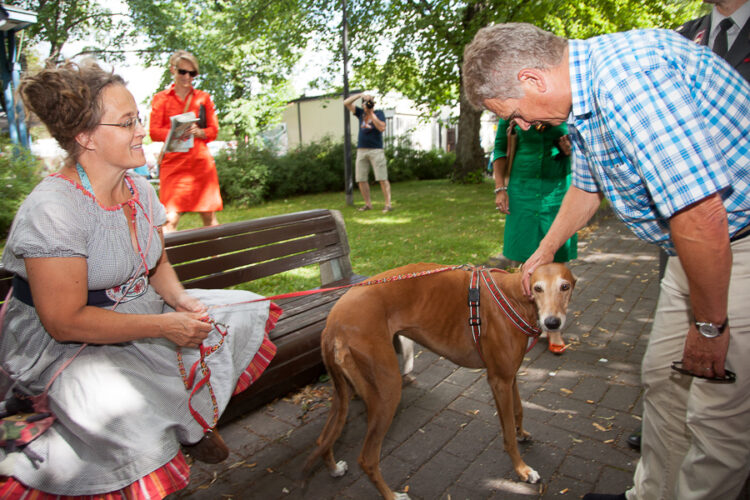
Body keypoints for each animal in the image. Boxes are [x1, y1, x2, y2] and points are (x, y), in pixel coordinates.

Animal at [304, 264, 576, 498]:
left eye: (565, 286)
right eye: (538, 287)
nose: (552, 323)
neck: (515, 296)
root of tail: (332, 324)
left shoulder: (510, 376)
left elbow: (519, 410)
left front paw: (522, 434)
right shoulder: (498, 380)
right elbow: (507, 433)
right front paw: (522, 470)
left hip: (343, 390)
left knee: (323, 437)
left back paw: (334, 468)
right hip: (386, 391)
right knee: (367, 459)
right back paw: (393, 495)